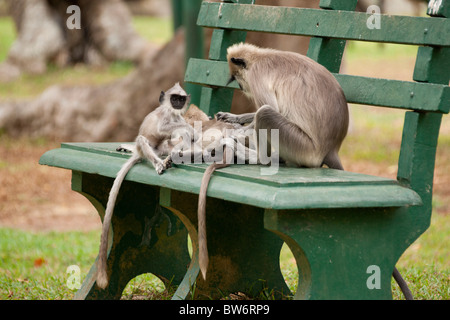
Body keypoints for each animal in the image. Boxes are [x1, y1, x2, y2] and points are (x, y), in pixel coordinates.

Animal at [96, 82, 192, 290]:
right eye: (174, 98)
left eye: (181, 99)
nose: (178, 104)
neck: (172, 112)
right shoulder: (167, 115)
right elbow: (168, 126)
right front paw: (190, 127)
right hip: (149, 147)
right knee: (143, 140)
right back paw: (159, 163)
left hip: (161, 147)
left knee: (170, 141)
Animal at [217, 42, 348, 170]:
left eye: (236, 77)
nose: (240, 87)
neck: (258, 58)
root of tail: (331, 149)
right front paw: (235, 118)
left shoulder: (256, 74)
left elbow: (272, 108)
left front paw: (239, 130)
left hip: (304, 147)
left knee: (264, 113)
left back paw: (257, 158)